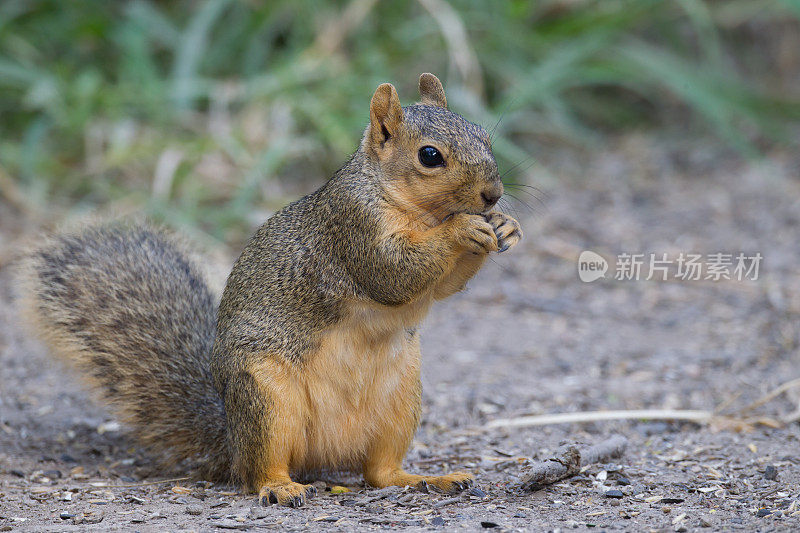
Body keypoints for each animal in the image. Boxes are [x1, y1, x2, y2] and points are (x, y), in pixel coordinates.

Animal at [21, 72, 520, 504]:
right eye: (429, 156)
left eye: (484, 135)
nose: (493, 194)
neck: (408, 204)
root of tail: (232, 440)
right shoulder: (352, 228)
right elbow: (394, 274)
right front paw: (462, 229)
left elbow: (443, 287)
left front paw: (506, 226)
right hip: (266, 398)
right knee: (259, 470)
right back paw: (280, 486)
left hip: (401, 398)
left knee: (380, 473)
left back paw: (428, 479)